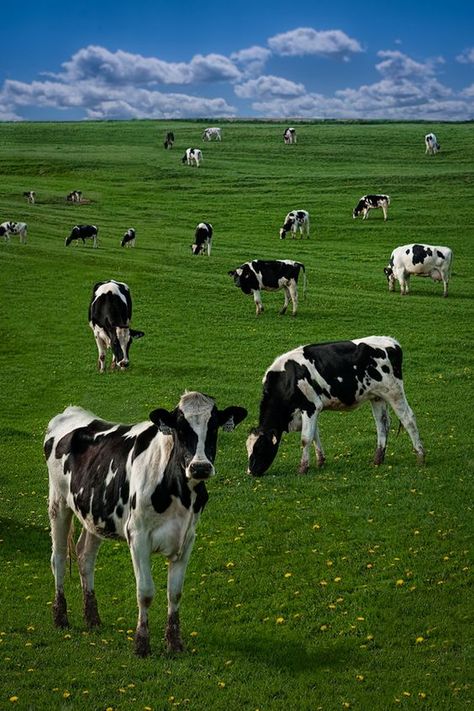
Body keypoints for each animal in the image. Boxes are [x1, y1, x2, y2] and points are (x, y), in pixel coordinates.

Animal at [44, 390, 248, 656]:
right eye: (179, 427)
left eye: (213, 426)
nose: (200, 467)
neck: (179, 493)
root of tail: (70, 411)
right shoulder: (138, 536)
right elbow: (146, 592)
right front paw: (141, 644)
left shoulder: (187, 537)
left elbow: (175, 593)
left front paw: (174, 642)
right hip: (58, 503)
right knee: (58, 557)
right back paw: (61, 618)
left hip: (95, 514)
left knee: (85, 556)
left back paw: (92, 618)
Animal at [246, 336, 424, 478]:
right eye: (247, 449)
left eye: (260, 448)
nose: (251, 472)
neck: (288, 378)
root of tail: (392, 342)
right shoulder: (310, 411)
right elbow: (315, 435)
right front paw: (320, 462)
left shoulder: (310, 406)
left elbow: (305, 439)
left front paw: (303, 469)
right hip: (377, 396)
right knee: (382, 425)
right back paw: (378, 459)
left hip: (394, 391)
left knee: (408, 419)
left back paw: (420, 457)